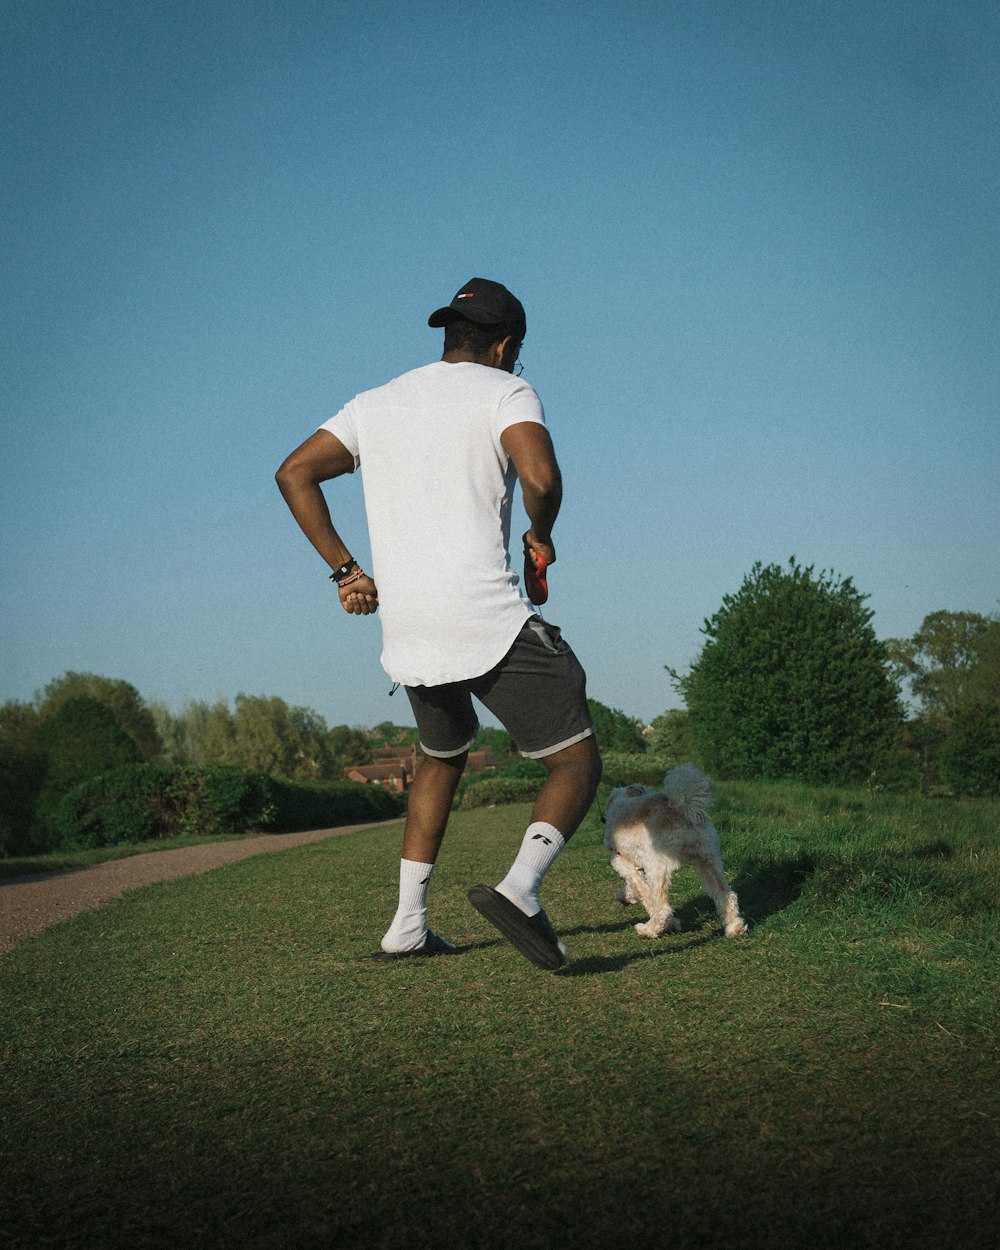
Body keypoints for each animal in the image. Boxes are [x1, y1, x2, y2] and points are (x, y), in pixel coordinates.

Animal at [602, 760, 740, 940]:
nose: (602, 818)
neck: (623, 801)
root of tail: (682, 808)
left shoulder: (622, 863)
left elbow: (645, 893)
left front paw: (670, 925)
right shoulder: (636, 865)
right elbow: (638, 886)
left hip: (657, 867)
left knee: (663, 909)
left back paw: (647, 930)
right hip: (708, 860)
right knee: (726, 894)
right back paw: (735, 927)